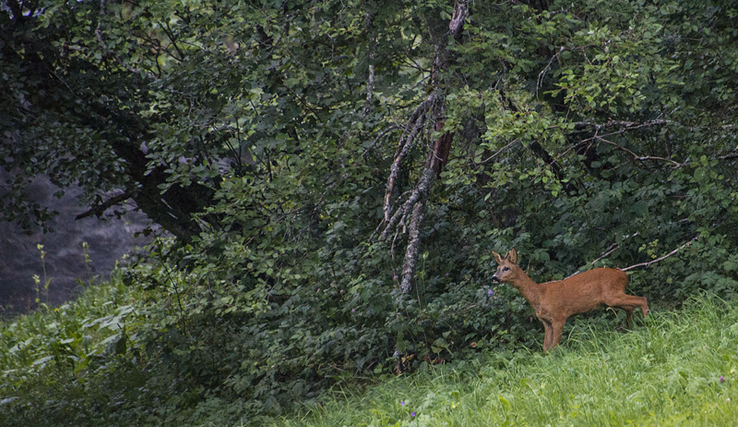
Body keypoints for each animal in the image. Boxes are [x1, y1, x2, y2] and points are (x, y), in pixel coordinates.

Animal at [492, 249, 648, 352]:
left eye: (506, 268)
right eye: (497, 267)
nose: (494, 277)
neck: (539, 295)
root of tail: (624, 275)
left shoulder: (559, 317)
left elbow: (555, 346)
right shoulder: (546, 322)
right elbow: (545, 348)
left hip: (612, 295)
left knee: (642, 299)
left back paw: (647, 325)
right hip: (612, 299)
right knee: (631, 307)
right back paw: (629, 331)